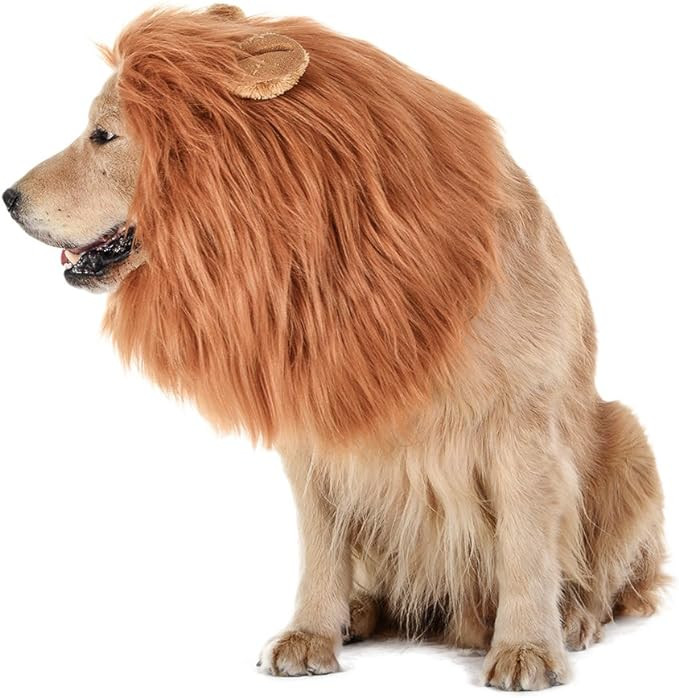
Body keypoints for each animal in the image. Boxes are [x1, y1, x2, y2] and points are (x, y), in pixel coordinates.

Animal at [3, 5, 666, 690]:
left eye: (103, 135)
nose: (9, 197)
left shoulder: (522, 427)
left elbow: (526, 549)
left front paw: (528, 648)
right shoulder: (316, 427)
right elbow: (322, 549)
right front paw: (311, 633)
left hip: (628, 437)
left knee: (609, 581)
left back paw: (575, 619)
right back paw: (360, 612)